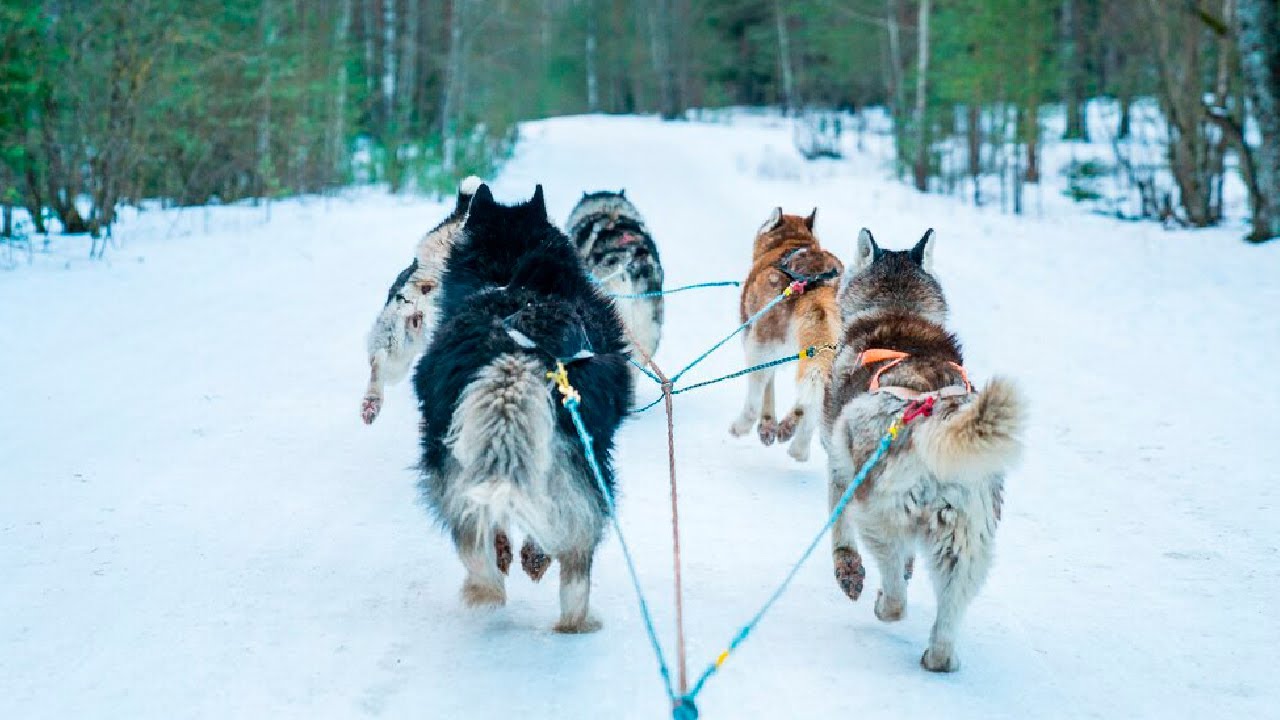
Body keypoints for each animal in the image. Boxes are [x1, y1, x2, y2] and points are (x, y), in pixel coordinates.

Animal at [417, 183, 632, 627]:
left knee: (474, 534)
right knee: (571, 559)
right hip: (583, 463)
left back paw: (491, 589)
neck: (509, 275)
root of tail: (518, 354)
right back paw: (570, 619)